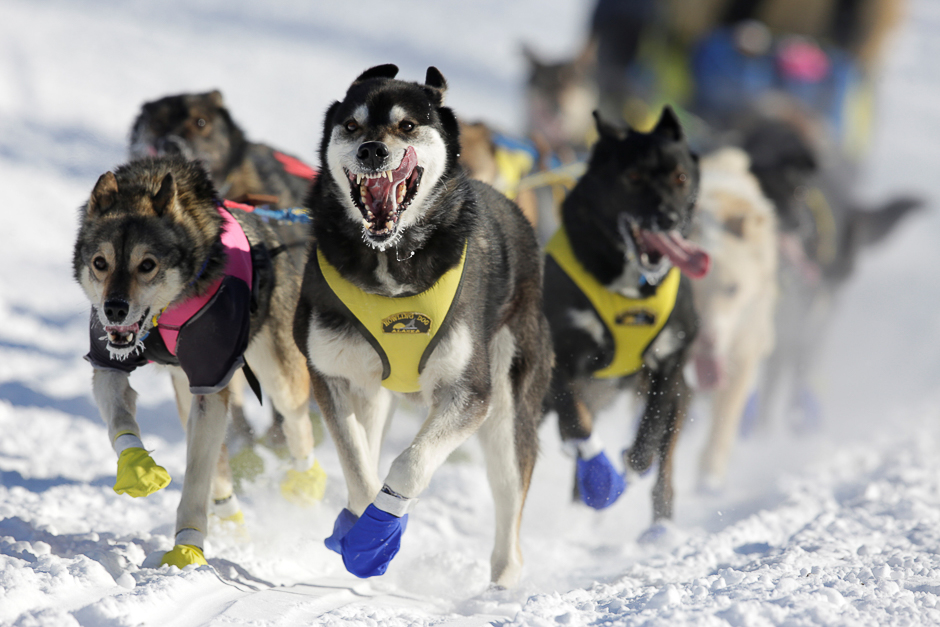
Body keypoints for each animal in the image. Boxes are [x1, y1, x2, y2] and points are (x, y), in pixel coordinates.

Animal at [72, 156, 326, 568]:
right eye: (100, 262)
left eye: (147, 264)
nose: (114, 308)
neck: (164, 315)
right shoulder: (108, 365)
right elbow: (120, 424)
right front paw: (138, 467)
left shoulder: (212, 379)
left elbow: (196, 476)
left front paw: (187, 547)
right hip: (184, 388)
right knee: (218, 460)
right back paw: (232, 519)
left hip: (277, 375)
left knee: (296, 422)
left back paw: (305, 485)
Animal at [298, 65, 556, 588]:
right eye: (351, 125)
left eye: (407, 126)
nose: (372, 151)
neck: (389, 259)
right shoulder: (333, 376)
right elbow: (358, 462)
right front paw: (362, 534)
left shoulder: (468, 393)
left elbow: (411, 462)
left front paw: (377, 530)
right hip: (375, 392)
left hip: (507, 409)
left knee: (508, 500)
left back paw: (502, 583)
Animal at [544, 105, 712, 532]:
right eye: (633, 176)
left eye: (681, 178)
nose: (668, 218)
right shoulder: (561, 353)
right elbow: (575, 421)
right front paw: (597, 472)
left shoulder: (670, 360)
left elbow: (650, 432)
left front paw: (633, 463)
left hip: (681, 396)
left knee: (665, 466)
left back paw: (659, 528)